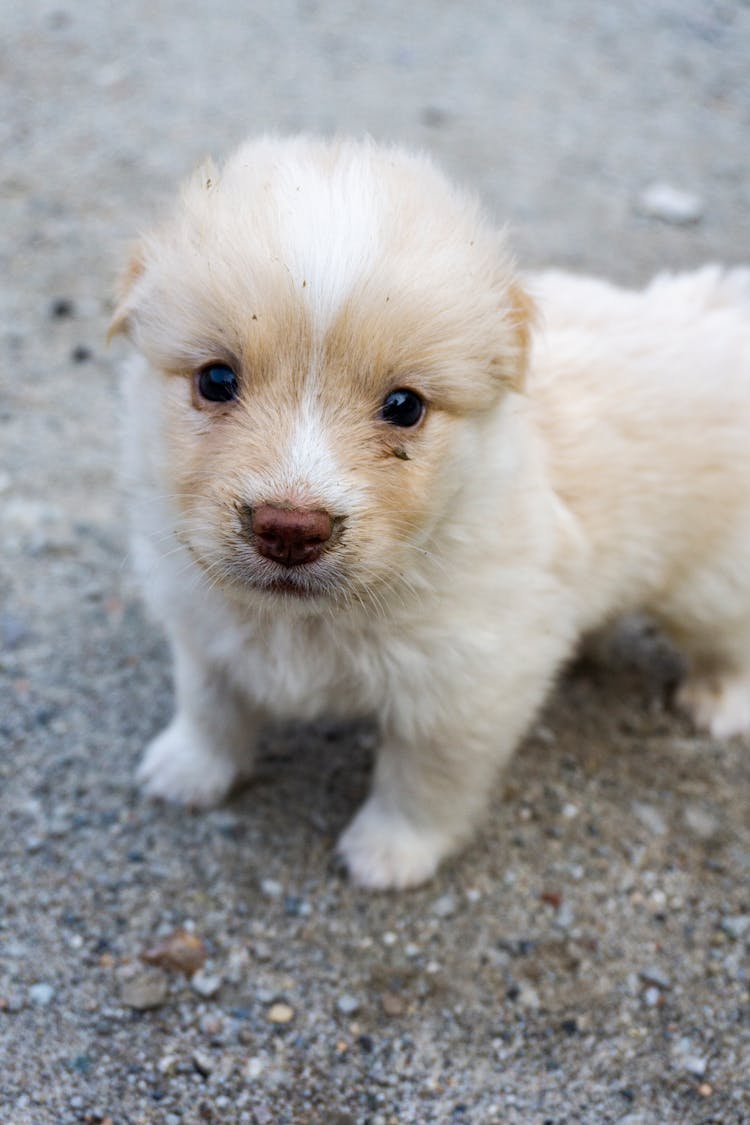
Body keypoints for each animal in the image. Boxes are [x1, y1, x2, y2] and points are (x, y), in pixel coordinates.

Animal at [110, 133, 750, 886]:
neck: (308, 621)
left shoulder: (467, 688)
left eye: (404, 405)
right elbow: (211, 703)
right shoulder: (205, 627)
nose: (290, 530)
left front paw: (389, 854)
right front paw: (188, 770)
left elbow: (424, 780)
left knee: (729, 637)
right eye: (215, 379)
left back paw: (721, 700)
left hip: (713, 582)